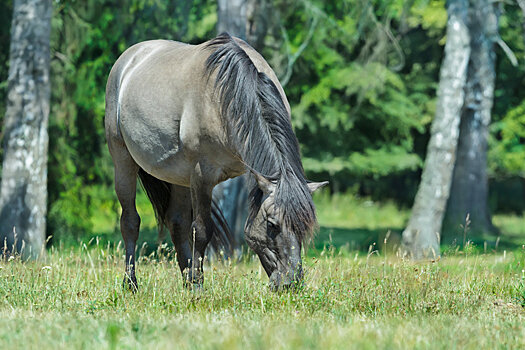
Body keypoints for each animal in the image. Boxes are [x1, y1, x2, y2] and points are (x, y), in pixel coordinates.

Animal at [105, 32, 328, 292]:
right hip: (123, 161)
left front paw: (193, 281)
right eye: (272, 225)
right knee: (130, 221)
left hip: (179, 175)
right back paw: (131, 283)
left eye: (304, 228)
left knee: (177, 223)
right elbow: (201, 230)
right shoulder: (203, 175)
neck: (226, 96)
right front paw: (198, 286)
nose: (291, 282)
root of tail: (129, 58)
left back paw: (186, 279)